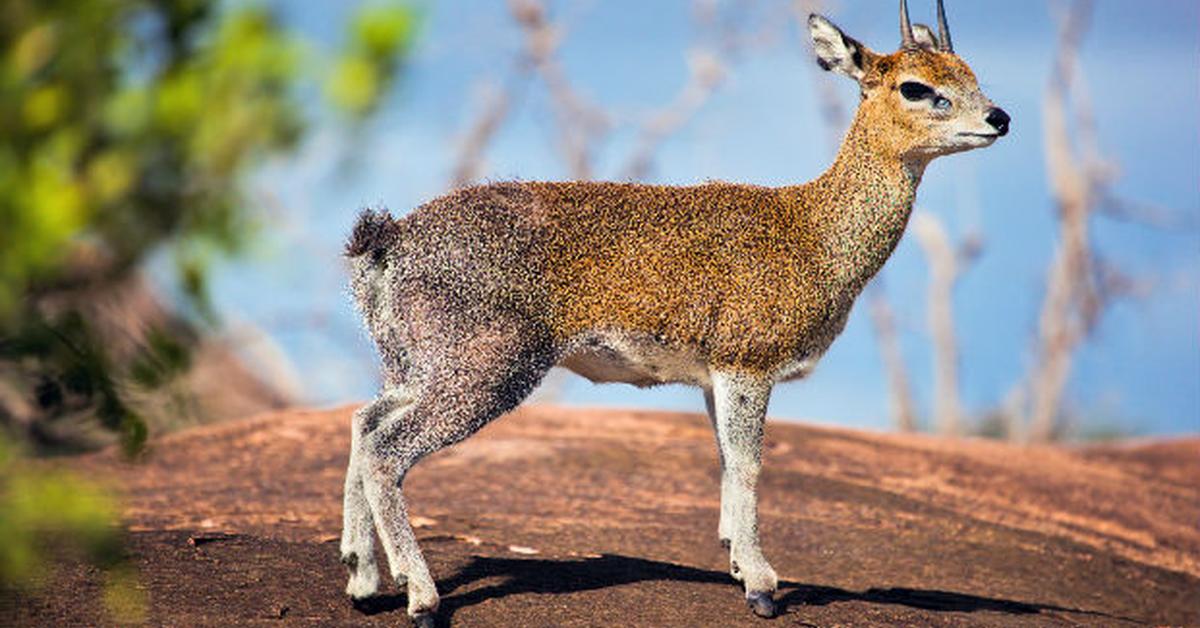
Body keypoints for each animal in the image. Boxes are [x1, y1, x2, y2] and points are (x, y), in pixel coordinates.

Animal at [340, 2, 1012, 624]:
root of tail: (390, 238)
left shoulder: (715, 379)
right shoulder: (747, 366)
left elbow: (724, 461)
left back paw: (362, 578)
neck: (812, 232)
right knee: (388, 449)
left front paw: (738, 562)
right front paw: (762, 585)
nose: (999, 118)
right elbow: (749, 463)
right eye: (916, 86)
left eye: (970, 73)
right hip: (486, 371)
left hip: (417, 368)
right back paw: (421, 596)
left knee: (364, 421)